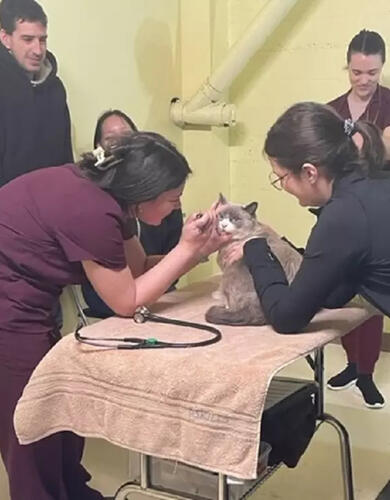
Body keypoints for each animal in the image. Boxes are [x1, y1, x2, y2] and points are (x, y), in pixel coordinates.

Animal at [206, 195, 304, 328]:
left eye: (235, 219)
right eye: (221, 216)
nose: (224, 225)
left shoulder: (227, 267)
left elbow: (223, 291)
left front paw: (218, 296)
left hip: (231, 273)